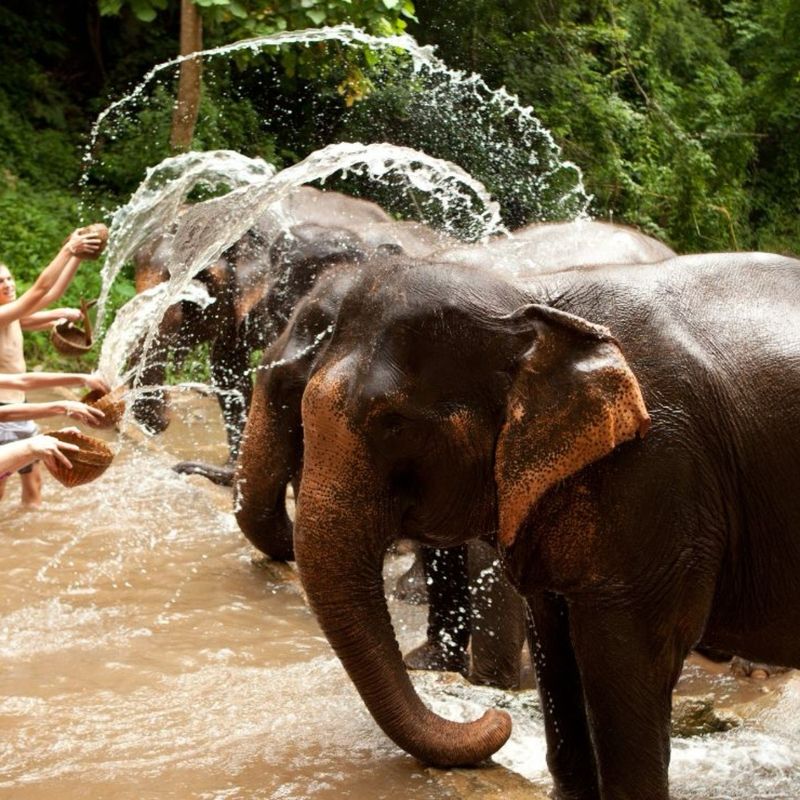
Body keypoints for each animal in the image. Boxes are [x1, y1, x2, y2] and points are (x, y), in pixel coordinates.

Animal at [290, 250, 800, 799]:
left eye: (392, 423)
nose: (496, 720)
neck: (530, 297)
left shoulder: (659, 469)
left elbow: (628, 655)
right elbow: (552, 640)